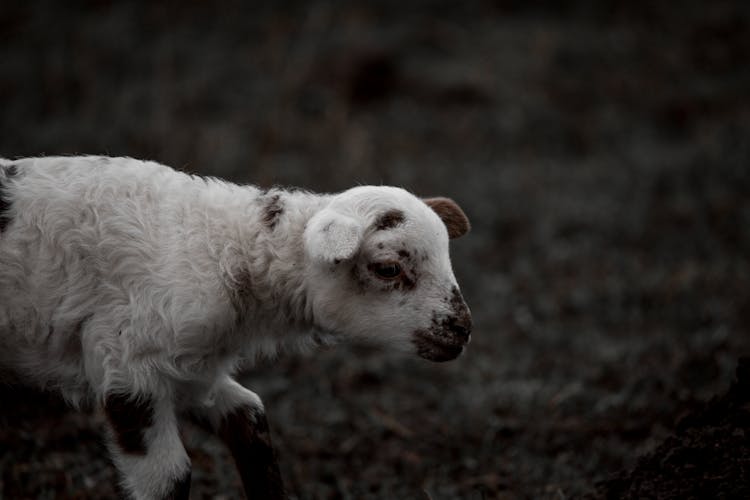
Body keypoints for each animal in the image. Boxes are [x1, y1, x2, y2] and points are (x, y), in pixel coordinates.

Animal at [0, 156, 472, 500]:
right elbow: (169, 479)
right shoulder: (128, 366)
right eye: (388, 268)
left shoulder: (192, 369)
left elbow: (252, 423)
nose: (462, 329)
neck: (230, 249)